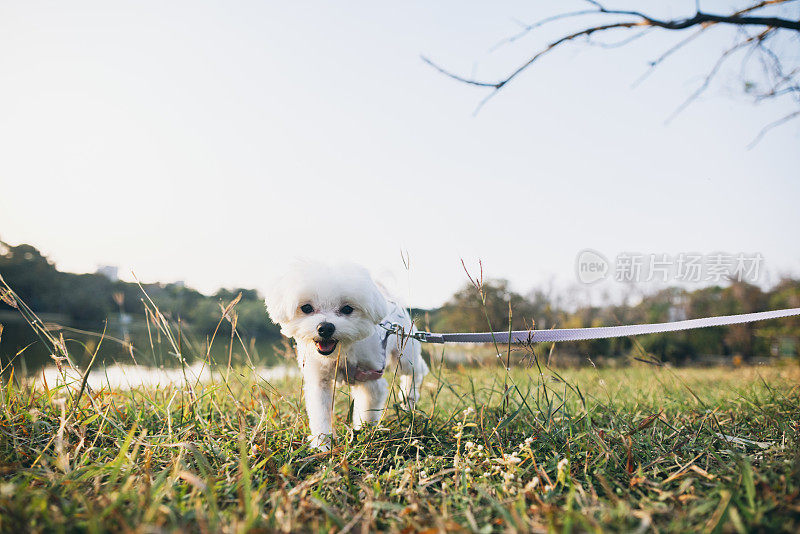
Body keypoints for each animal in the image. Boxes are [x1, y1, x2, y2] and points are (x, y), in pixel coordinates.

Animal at [266, 264, 428, 452]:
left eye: (347, 309)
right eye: (306, 308)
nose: (325, 328)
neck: (342, 353)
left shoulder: (371, 377)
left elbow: (368, 410)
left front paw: (365, 433)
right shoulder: (319, 381)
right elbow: (321, 414)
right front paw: (322, 445)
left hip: (405, 352)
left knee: (416, 370)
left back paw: (409, 398)